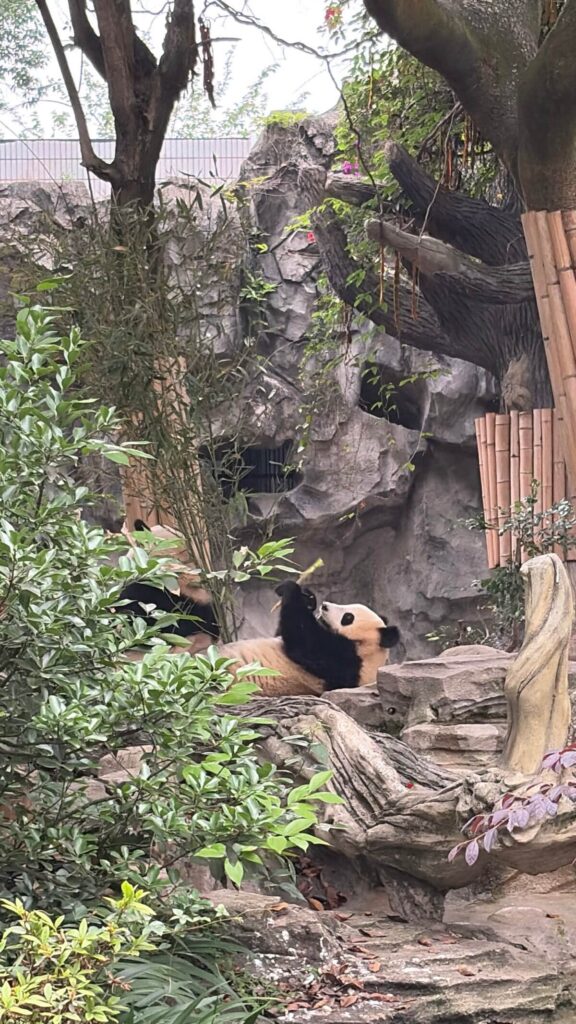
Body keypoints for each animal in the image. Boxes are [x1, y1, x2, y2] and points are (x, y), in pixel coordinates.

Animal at [217, 580, 400, 696]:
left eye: (348, 617)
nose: (324, 606)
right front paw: (309, 598)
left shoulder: (344, 662)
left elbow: (301, 640)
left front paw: (289, 587)